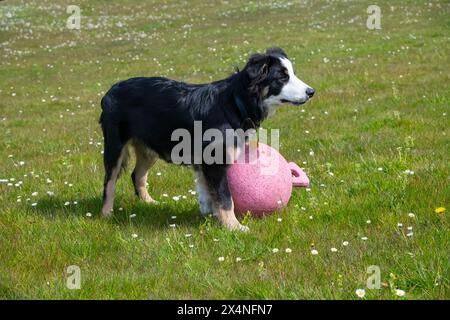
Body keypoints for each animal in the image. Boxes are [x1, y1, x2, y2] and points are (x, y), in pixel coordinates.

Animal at [100, 47, 314, 231]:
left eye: (293, 74)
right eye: (282, 77)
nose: (311, 92)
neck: (234, 103)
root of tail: (111, 90)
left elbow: (208, 194)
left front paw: (214, 219)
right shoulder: (215, 161)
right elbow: (225, 198)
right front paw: (234, 227)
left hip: (149, 147)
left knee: (137, 175)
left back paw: (149, 203)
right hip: (115, 145)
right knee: (109, 182)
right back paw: (106, 214)